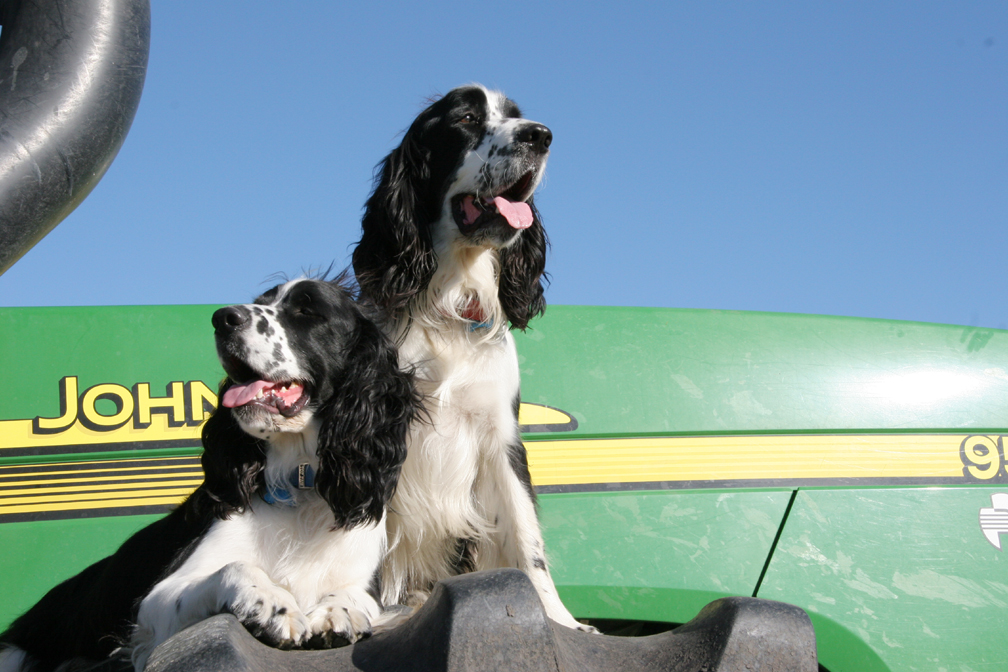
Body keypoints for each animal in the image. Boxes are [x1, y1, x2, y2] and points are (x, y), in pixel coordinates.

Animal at [0, 276, 417, 668]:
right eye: (261, 302)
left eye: (306, 310)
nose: (224, 318)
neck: (297, 484)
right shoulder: (157, 600)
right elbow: (235, 567)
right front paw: (272, 602)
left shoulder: (362, 573)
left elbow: (357, 597)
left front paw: (336, 612)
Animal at [354, 82, 588, 632]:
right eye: (464, 118)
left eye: (517, 116)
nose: (540, 135)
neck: (449, 301)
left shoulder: (500, 436)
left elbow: (527, 538)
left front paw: (560, 620)